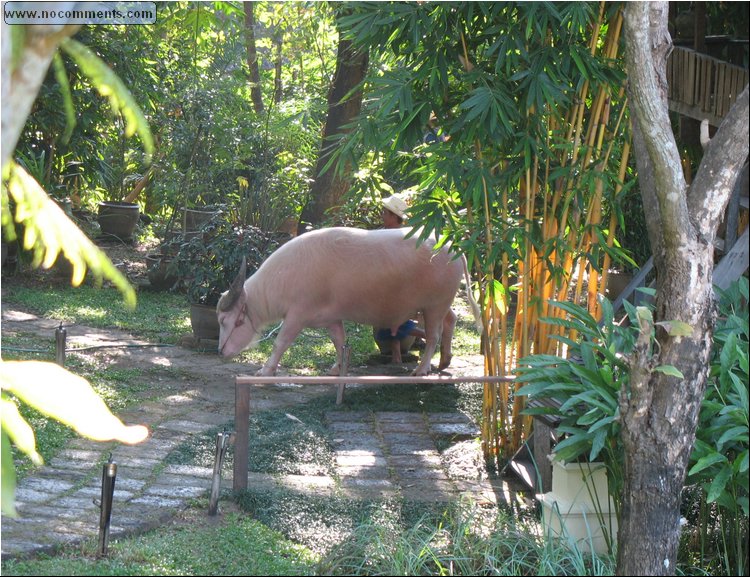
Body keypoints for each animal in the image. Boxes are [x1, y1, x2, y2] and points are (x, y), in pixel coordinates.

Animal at [216, 227, 482, 376]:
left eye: (224, 320)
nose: (220, 351)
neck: (286, 275)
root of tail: (452, 247)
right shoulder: (332, 319)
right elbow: (339, 341)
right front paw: (337, 368)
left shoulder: (296, 316)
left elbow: (280, 342)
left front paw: (266, 369)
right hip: (437, 305)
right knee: (451, 320)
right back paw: (445, 360)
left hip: (434, 306)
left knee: (434, 334)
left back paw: (422, 368)